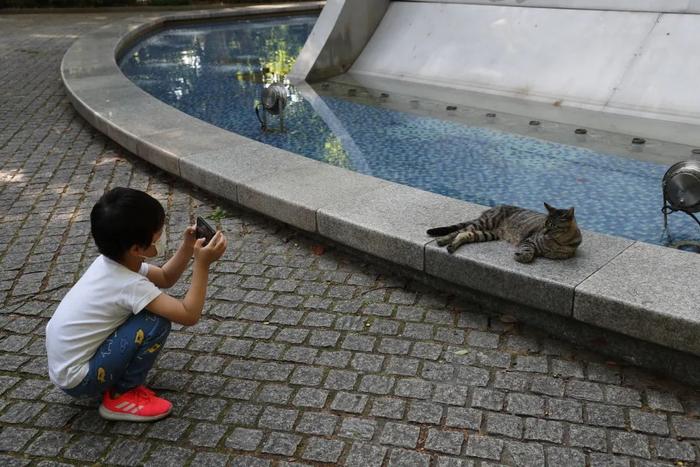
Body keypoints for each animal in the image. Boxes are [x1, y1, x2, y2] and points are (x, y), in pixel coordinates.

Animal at [426, 204, 584, 266]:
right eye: (545, 224)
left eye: (553, 227)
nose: (544, 232)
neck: (560, 241)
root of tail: (493, 208)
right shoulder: (529, 240)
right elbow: (529, 252)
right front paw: (522, 256)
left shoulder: (567, 252)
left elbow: (560, 253)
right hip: (484, 223)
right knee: (457, 232)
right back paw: (443, 240)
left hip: (486, 233)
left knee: (465, 234)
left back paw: (452, 246)